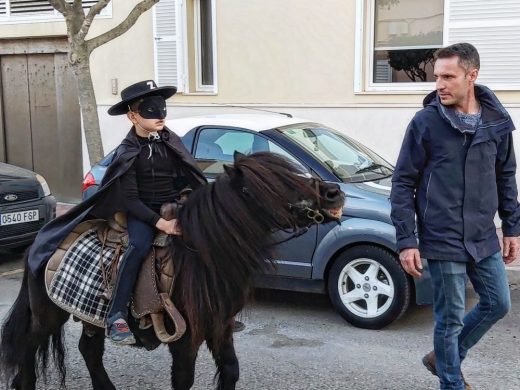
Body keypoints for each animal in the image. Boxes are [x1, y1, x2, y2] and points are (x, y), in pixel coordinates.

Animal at [1, 152, 346, 390]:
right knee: (27, 351)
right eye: (274, 182)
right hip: (48, 314)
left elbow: (231, 370)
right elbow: (184, 379)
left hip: (89, 315)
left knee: (89, 350)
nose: (333, 194)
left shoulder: (220, 326)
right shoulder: (185, 338)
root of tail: (40, 240)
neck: (204, 255)